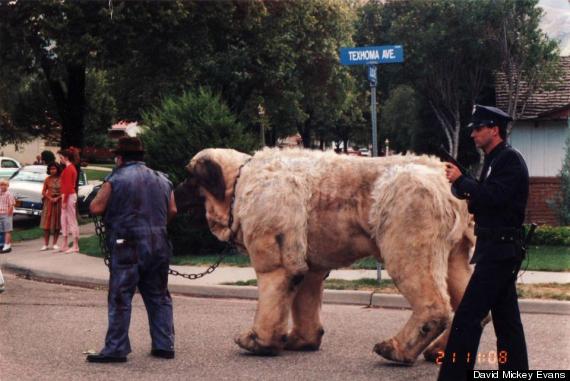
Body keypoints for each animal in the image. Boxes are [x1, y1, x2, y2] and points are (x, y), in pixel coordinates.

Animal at [175, 147, 472, 364]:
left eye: (190, 177)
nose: (173, 191)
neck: (239, 183)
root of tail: (444, 180)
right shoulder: (307, 263)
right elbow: (305, 296)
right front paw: (301, 340)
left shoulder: (276, 255)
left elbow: (273, 291)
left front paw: (257, 340)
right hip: (454, 253)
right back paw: (439, 350)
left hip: (408, 239)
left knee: (433, 304)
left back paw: (396, 349)